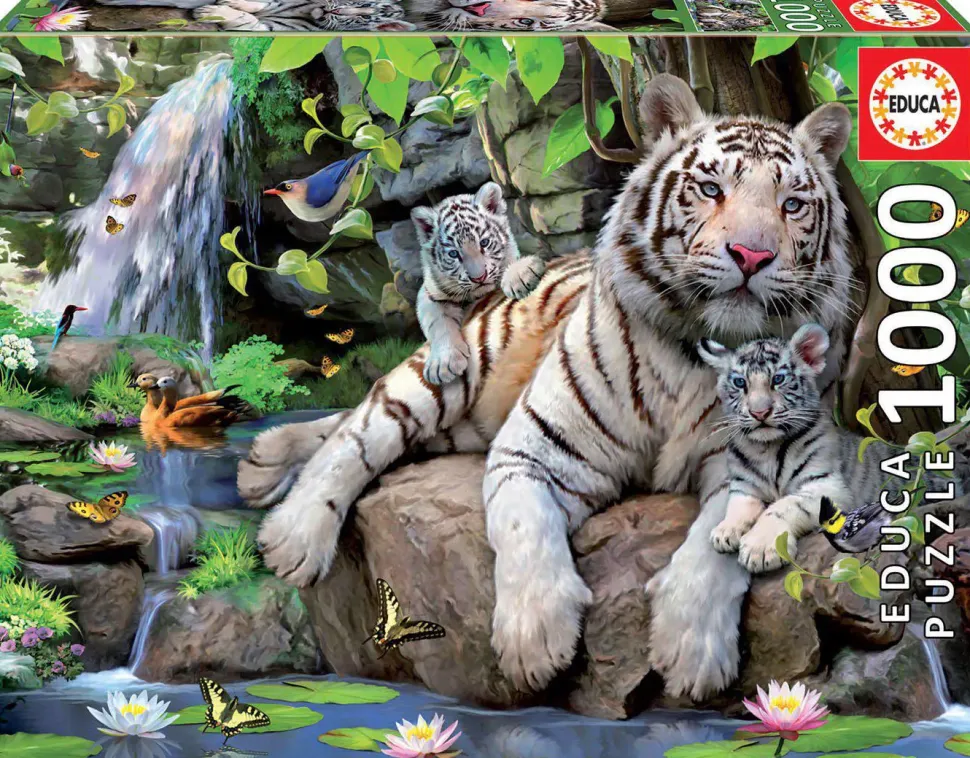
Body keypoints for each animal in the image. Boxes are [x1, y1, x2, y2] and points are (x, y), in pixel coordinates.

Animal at [413, 182, 546, 385]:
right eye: (454, 254)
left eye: (484, 243)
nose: (479, 277)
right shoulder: (429, 294)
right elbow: (438, 323)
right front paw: (444, 363)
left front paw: (521, 275)